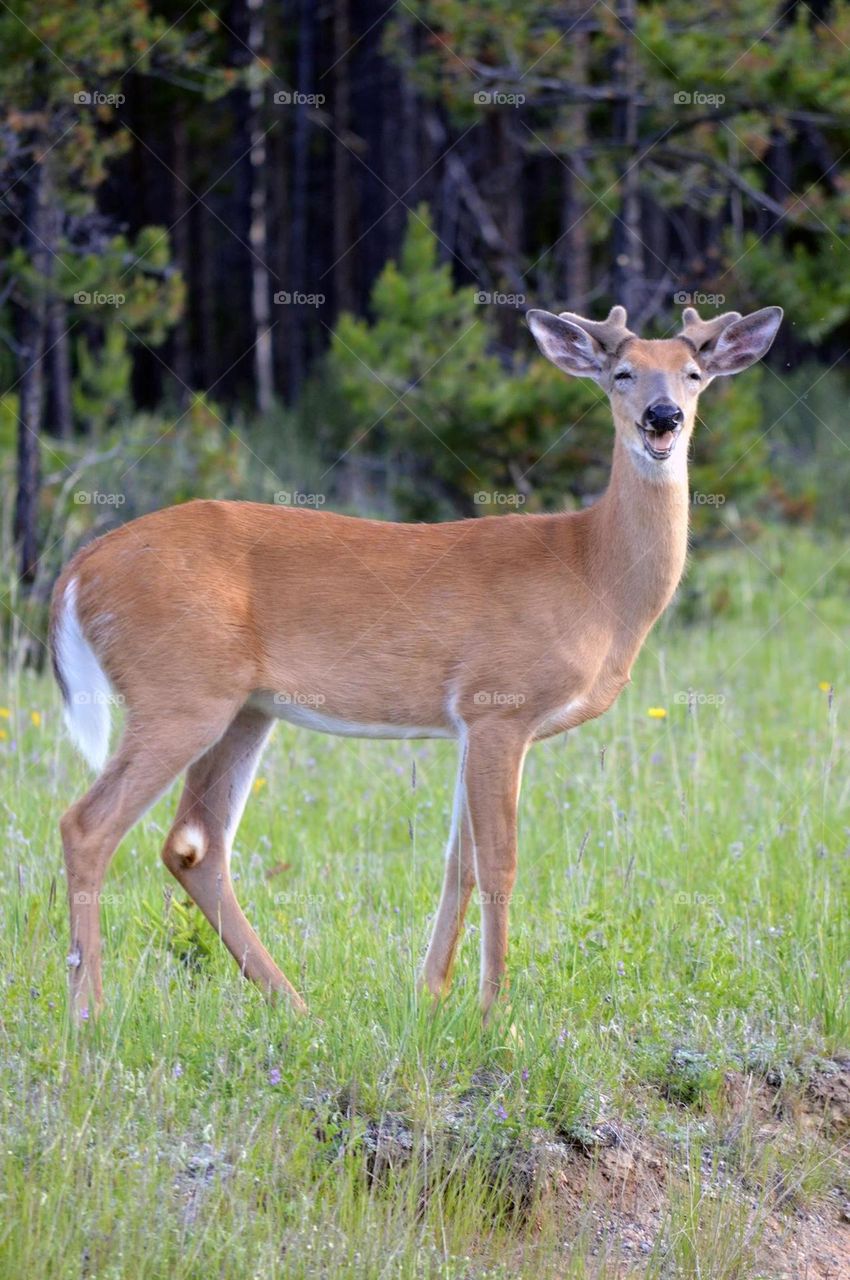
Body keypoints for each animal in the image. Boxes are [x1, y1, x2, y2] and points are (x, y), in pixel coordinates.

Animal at [49, 299, 783, 1018]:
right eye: (622, 373)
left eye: (693, 374)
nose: (664, 417)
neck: (593, 575)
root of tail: (81, 568)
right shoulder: (500, 706)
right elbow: (500, 863)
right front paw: (496, 1016)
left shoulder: (470, 723)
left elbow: (459, 862)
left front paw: (431, 998)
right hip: (179, 692)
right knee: (88, 824)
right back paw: (90, 1015)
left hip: (245, 707)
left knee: (193, 843)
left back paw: (295, 1006)